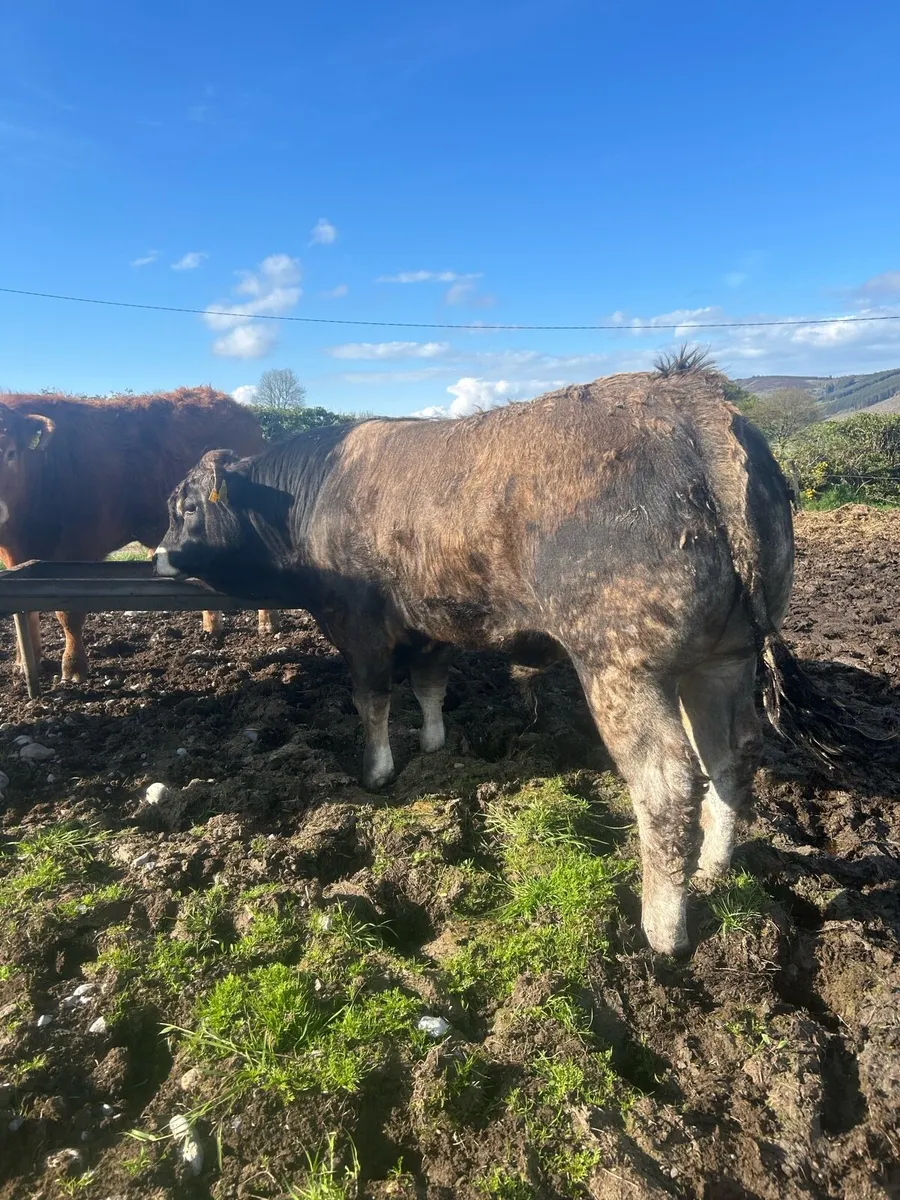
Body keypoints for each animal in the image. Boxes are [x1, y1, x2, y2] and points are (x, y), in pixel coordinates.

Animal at [0, 386, 280, 682]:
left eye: (10, 453)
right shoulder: (15, 557)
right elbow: (26, 612)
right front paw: (25, 662)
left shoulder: (78, 552)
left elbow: (69, 614)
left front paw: (73, 669)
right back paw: (211, 629)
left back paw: (267, 625)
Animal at [154, 358, 876, 956]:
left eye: (185, 506)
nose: (160, 555)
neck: (312, 493)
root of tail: (690, 400)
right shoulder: (431, 623)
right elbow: (429, 687)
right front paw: (436, 745)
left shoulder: (358, 627)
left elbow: (372, 701)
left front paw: (377, 771)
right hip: (723, 657)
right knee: (733, 753)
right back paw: (715, 867)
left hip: (622, 666)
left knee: (668, 783)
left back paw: (662, 928)